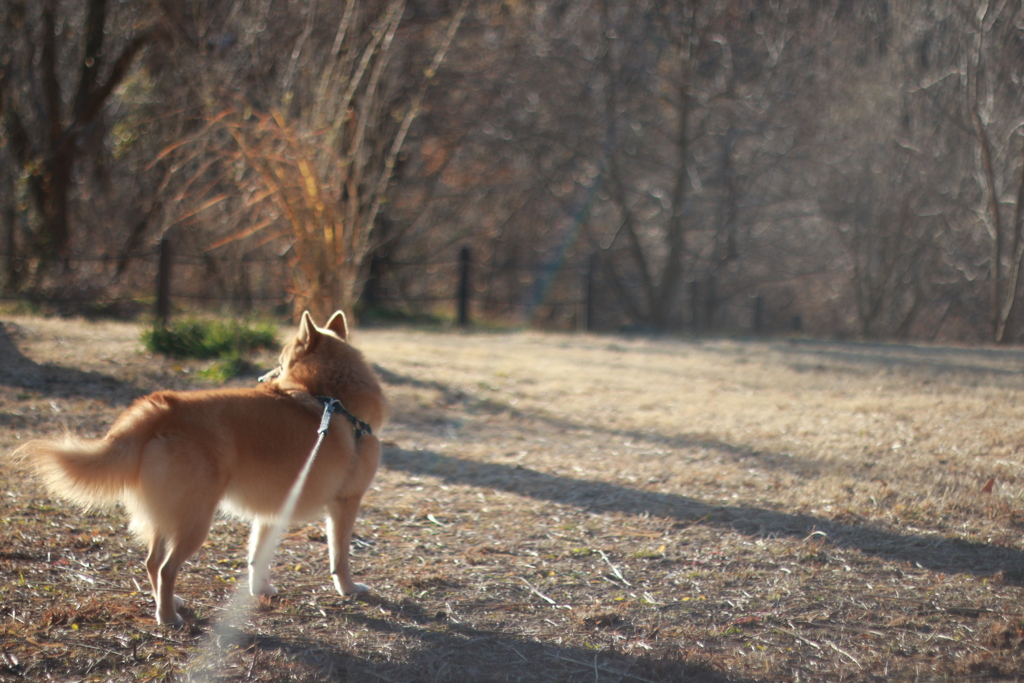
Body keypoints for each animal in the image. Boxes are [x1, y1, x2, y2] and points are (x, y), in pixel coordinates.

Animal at [16, 309, 385, 626]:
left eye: (281, 362)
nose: (262, 378)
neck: (332, 399)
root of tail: (162, 410)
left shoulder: (271, 512)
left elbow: (257, 556)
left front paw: (260, 590)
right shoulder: (345, 504)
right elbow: (340, 557)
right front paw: (348, 589)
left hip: (167, 516)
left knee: (152, 563)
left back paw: (168, 603)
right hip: (195, 521)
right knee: (166, 568)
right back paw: (167, 617)